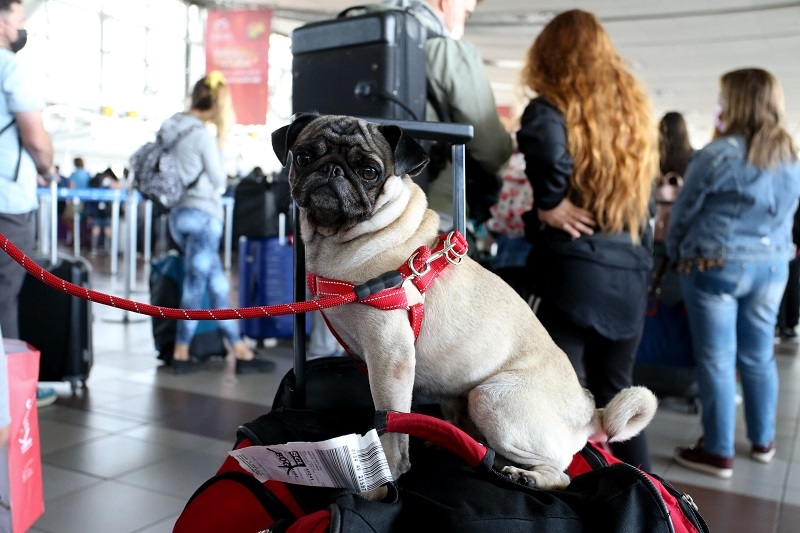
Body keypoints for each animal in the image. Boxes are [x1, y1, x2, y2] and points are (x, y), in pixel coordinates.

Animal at [270, 113, 656, 490]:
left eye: (369, 172)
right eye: (303, 157)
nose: (331, 170)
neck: (338, 240)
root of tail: (591, 413)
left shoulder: (390, 358)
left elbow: (390, 422)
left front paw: (388, 477)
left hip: (491, 398)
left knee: (561, 475)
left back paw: (525, 476)